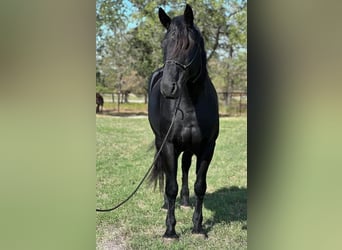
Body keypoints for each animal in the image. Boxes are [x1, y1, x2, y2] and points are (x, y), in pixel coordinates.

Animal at [148, 3, 219, 238]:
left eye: (189, 44)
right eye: (164, 43)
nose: (168, 88)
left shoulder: (207, 147)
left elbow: (200, 185)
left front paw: (197, 227)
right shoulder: (168, 144)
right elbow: (171, 187)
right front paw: (170, 231)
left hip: (189, 146)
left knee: (186, 167)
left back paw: (186, 201)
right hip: (161, 142)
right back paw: (165, 204)